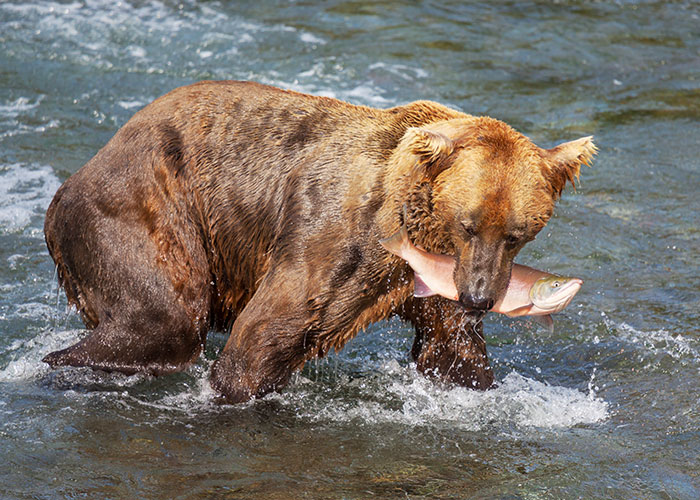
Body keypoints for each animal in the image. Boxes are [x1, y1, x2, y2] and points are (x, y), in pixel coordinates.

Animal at [42, 80, 596, 402]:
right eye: (469, 223)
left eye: (517, 234)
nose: (480, 297)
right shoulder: (330, 239)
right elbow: (260, 338)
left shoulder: (437, 277)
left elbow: (452, 354)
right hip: (146, 205)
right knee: (164, 319)